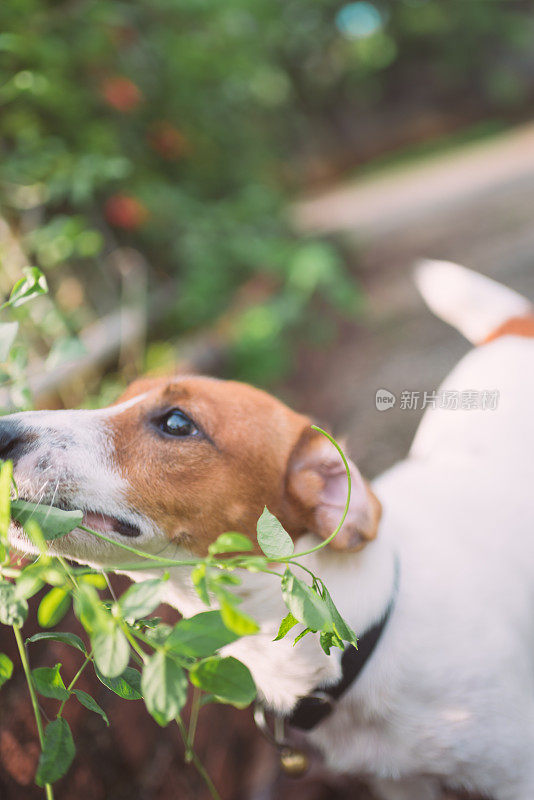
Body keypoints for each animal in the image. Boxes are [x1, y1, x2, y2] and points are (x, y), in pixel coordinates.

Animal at [3, 262, 534, 800]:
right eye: (116, 400)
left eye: (177, 423)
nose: (2, 431)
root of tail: (517, 326)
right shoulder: (399, 784)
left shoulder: (515, 775)